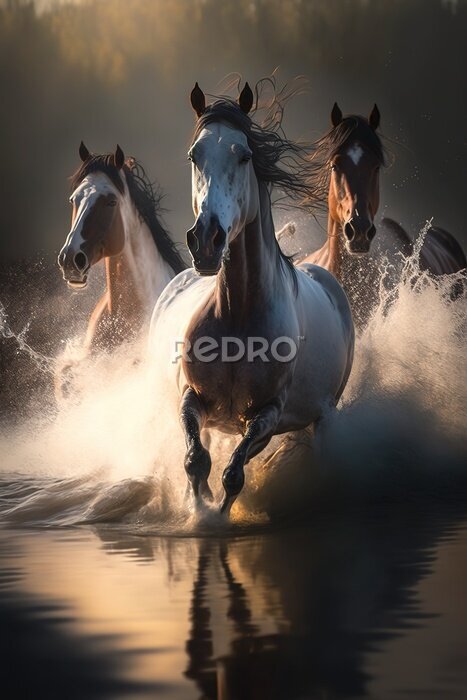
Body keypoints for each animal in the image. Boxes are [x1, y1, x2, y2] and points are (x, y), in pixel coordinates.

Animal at [149, 83, 354, 516]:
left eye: (244, 155)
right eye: (194, 156)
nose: (205, 240)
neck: (238, 317)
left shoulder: (266, 415)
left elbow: (233, 474)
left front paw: (215, 517)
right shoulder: (191, 397)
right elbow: (197, 460)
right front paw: (198, 508)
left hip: (325, 417)